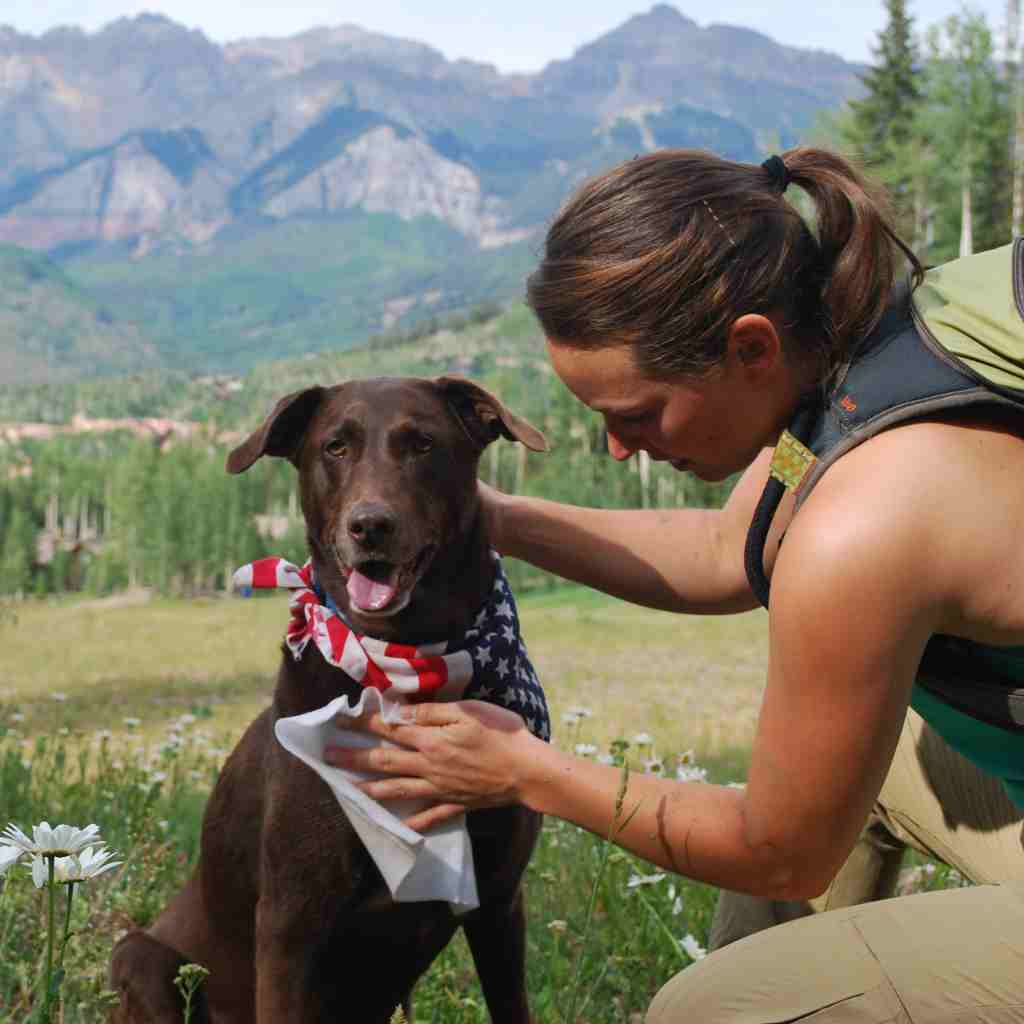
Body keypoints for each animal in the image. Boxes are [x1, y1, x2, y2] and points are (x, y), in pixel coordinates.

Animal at [108, 378, 548, 1024]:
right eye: (335, 447)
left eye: (422, 444)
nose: (371, 525)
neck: (402, 658)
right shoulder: (291, 923)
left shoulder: (499, 902)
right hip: (141, 958)